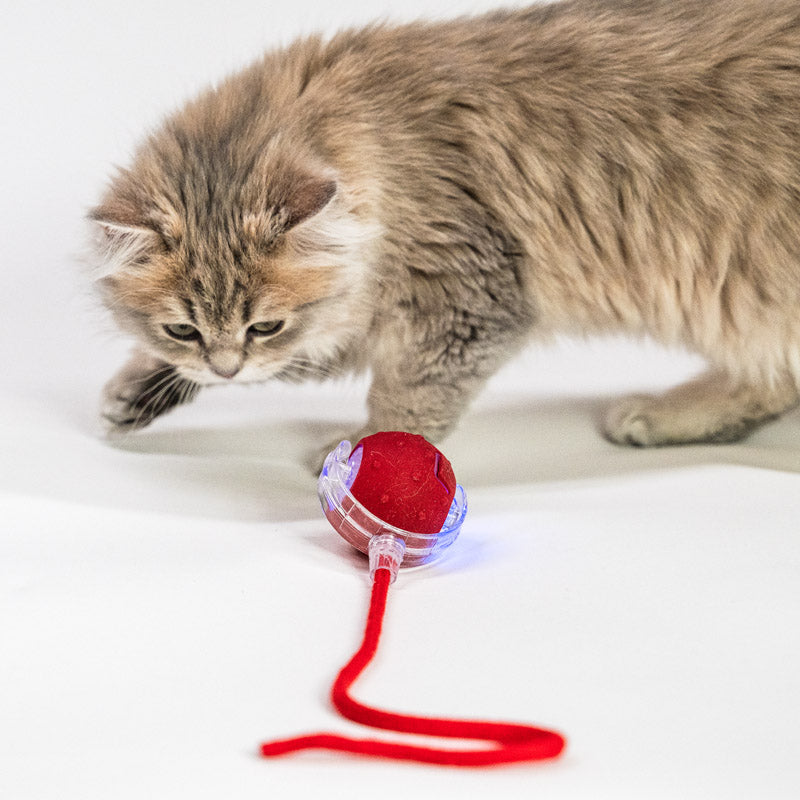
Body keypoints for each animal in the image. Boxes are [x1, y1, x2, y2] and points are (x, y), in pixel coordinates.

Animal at [90, 0, 800, 468]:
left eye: (265, 325)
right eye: (182, 329)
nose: (226, 367)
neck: (379, 138)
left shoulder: (467, 304)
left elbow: (404, 401)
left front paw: (367, 457)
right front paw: (140, 386)